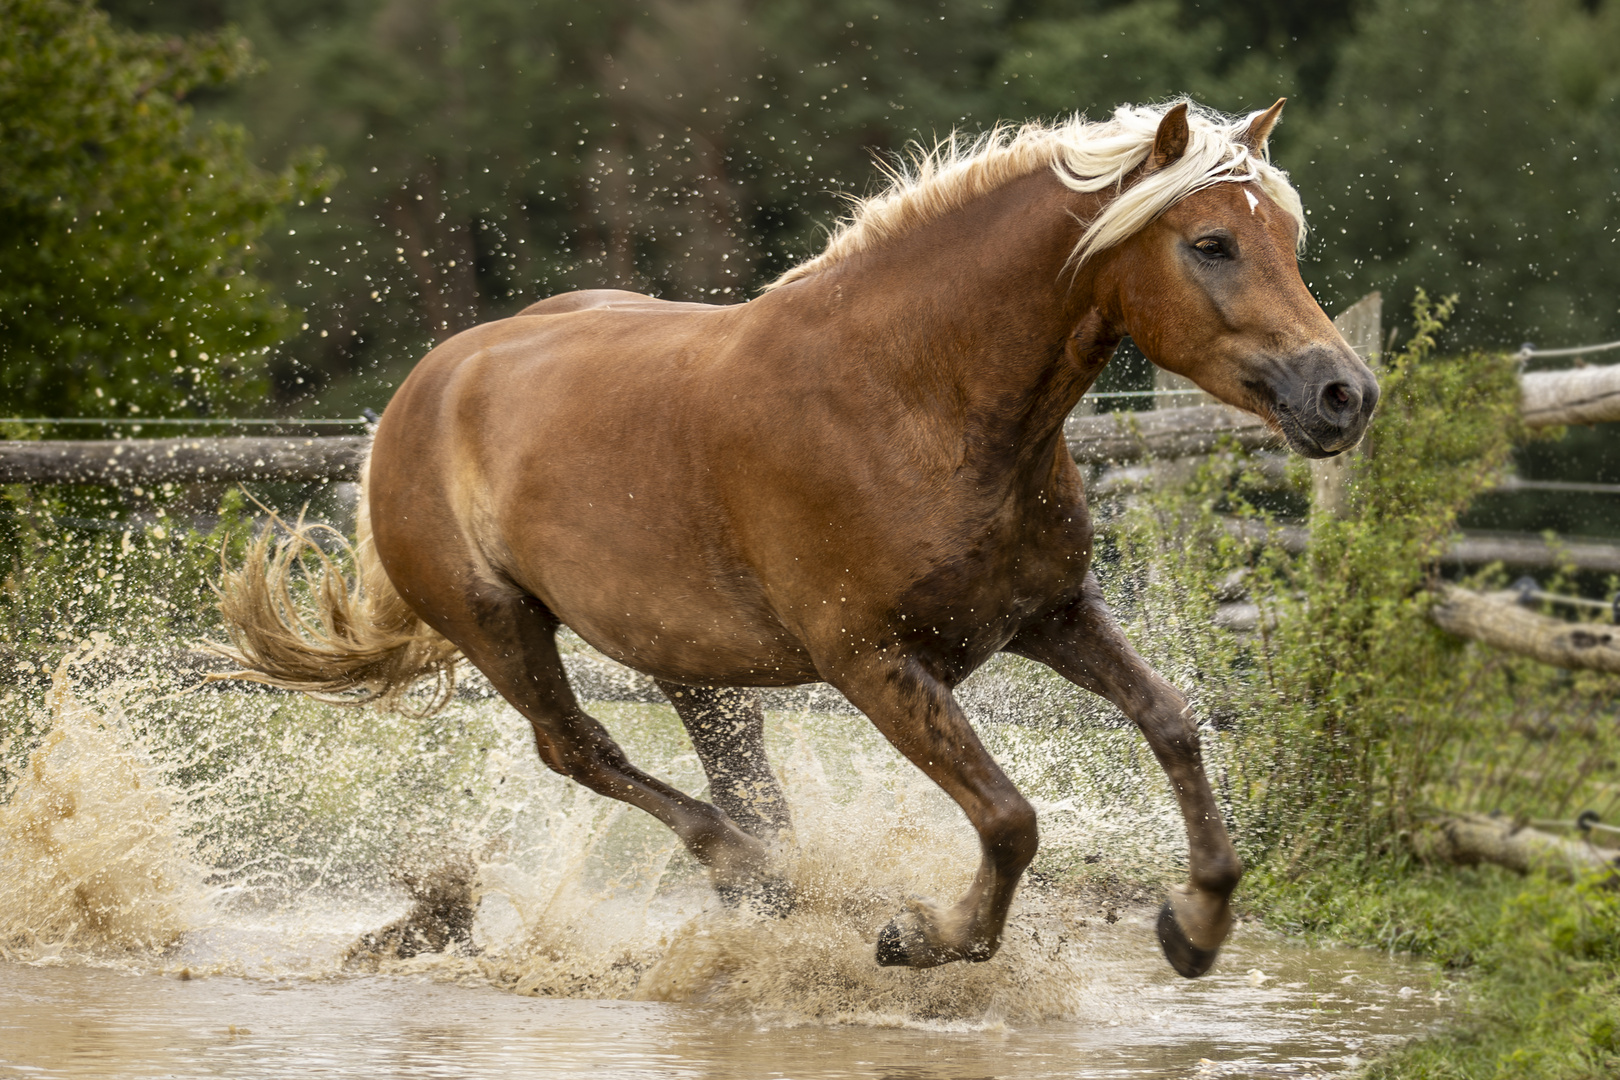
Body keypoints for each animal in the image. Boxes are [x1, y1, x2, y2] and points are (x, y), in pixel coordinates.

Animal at [215, 103, 1380, 977]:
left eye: (1287, 241)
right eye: (1211, 244)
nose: (1345, 394)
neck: (911, 395)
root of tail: (420, 392)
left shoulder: (1051, 614)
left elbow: (1174, 725)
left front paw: (1196, 927)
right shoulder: (872, 663)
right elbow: (1011, 819)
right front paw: (927, 935)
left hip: (692, 662)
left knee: (740, 782)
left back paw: (768, 891)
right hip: (502, 627)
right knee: (583, 750)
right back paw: (753, 876)